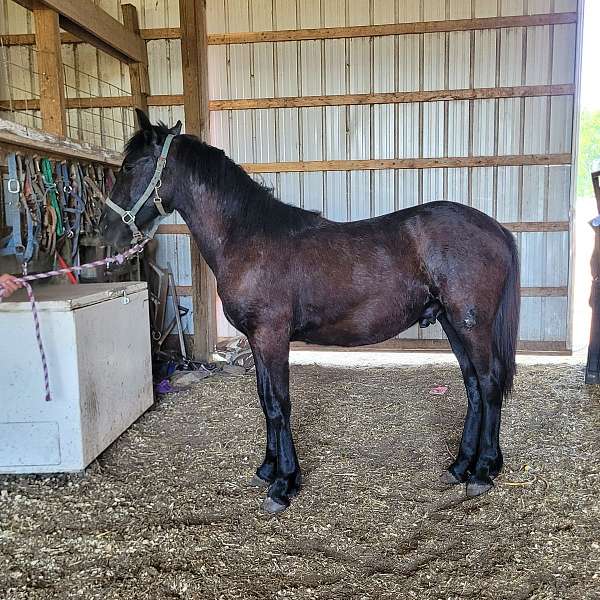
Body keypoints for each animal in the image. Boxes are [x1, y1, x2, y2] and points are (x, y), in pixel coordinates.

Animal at [99, 112, 520, 516]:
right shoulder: (257, 339)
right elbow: (264, 398)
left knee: (488, 385)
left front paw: (284, 484)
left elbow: (278, 403)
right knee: (473, 388)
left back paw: (483, 471)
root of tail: (495, 229)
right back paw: (460, 466)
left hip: (471, 324)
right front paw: (268, 469)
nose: (106, 233)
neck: (248, 237)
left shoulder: (271, 335)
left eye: (130, 166)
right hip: (452, 323)